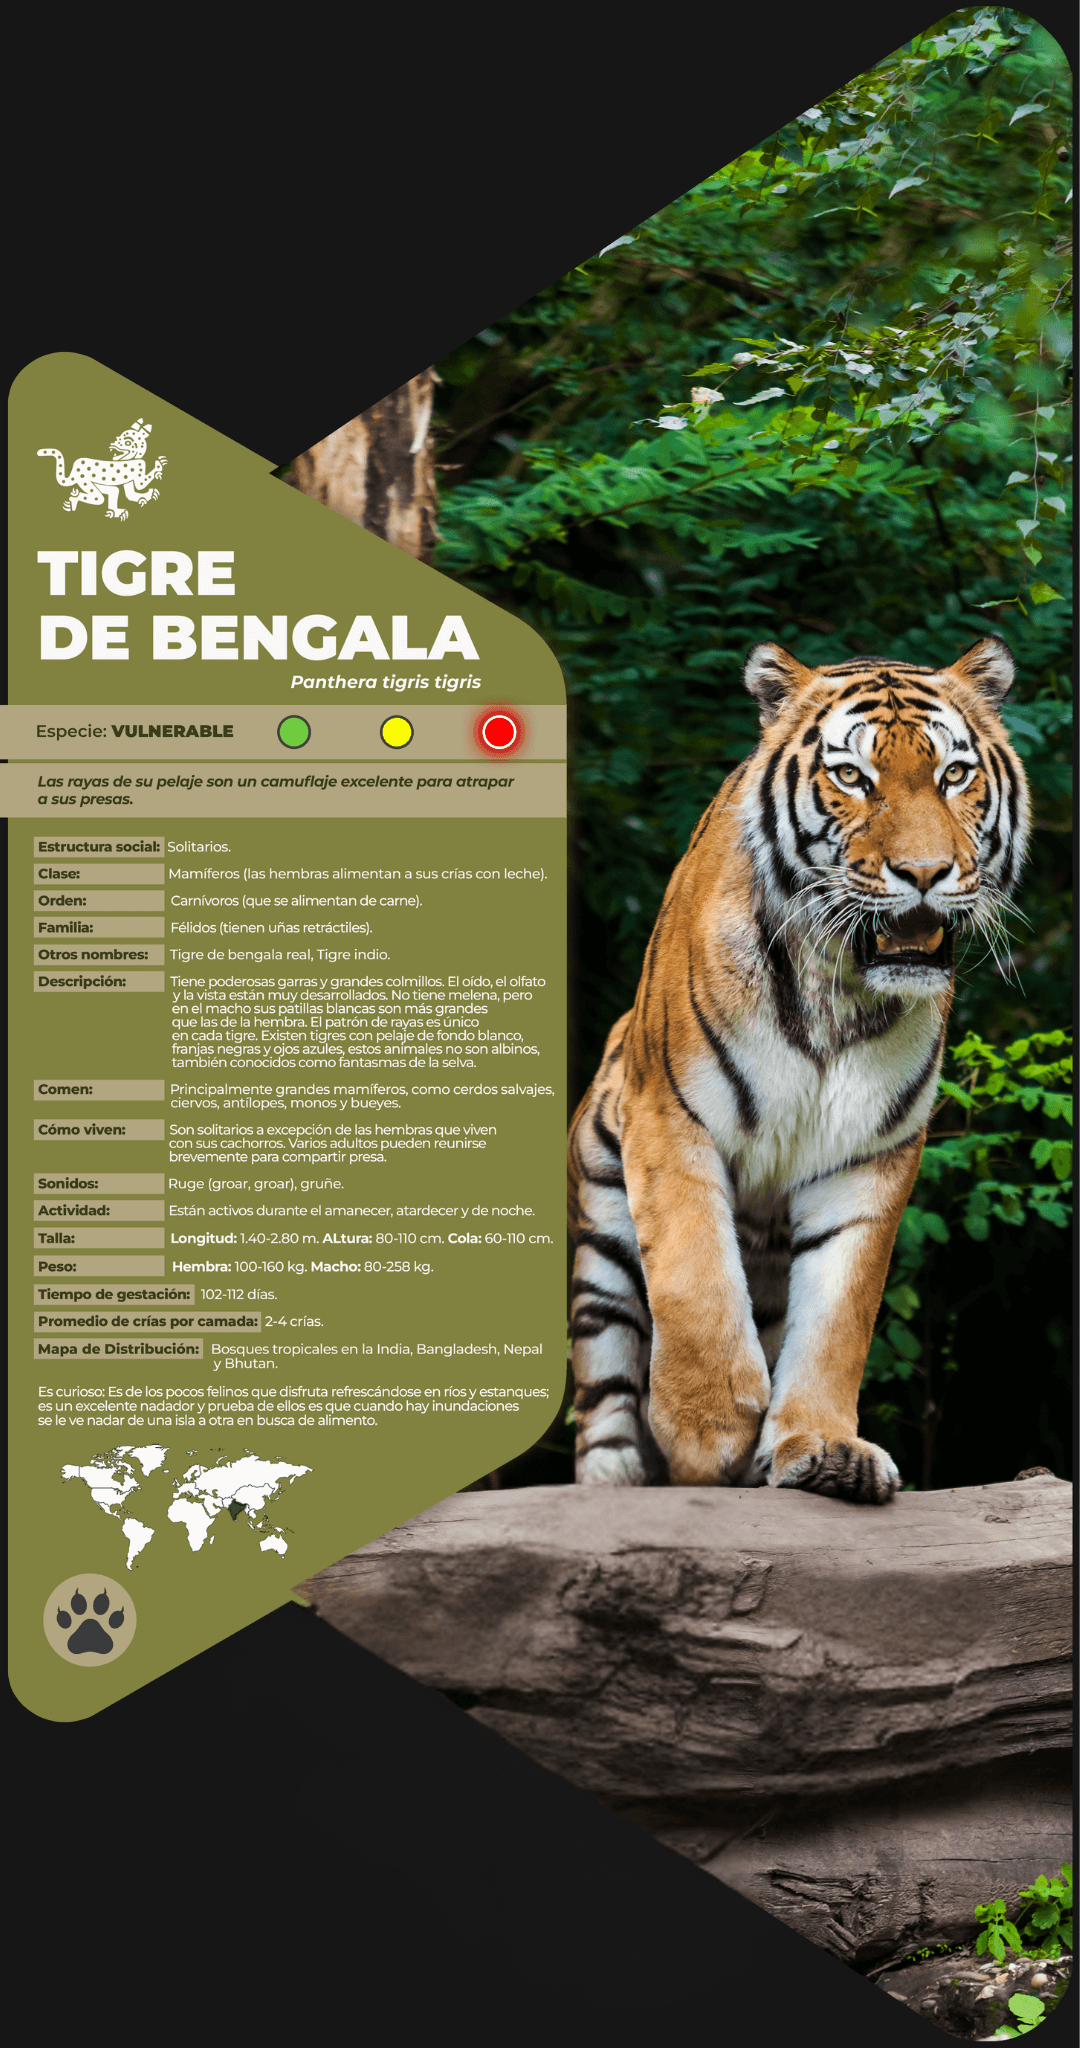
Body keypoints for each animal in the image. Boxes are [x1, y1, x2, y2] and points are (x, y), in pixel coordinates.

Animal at [567, 635, 1029, 1502]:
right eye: (852, 777)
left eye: (955, 775)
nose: (925, 873)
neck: (837, 992)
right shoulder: (669, 1117)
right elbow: (695, 1275)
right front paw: (706, 1427)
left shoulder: (870, 1156)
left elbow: (837, 1319)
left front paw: (822, 1446)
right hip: (601, 1242)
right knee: (604, 1387)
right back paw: (623, 1475)